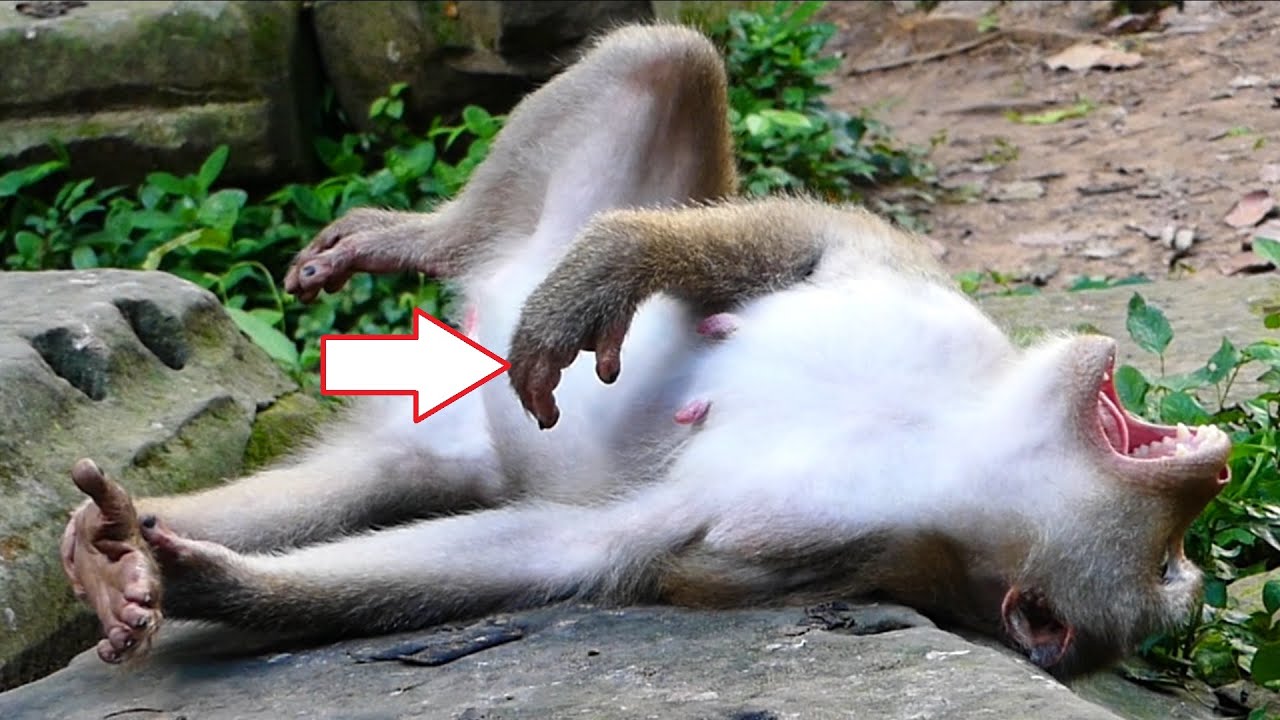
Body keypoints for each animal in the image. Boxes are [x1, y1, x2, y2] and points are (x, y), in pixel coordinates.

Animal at [59, 22, 1231, 680]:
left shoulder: (813, 549)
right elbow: (801, 241)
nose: (1216, 465)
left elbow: (568, 553)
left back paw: (127, 546)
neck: (956, 430)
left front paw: (195, 582)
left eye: (1170, 571)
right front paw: (618, 267)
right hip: (531, 239)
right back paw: (425, 237)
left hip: (443, 448)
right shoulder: (921, 294)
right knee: (666, 55)